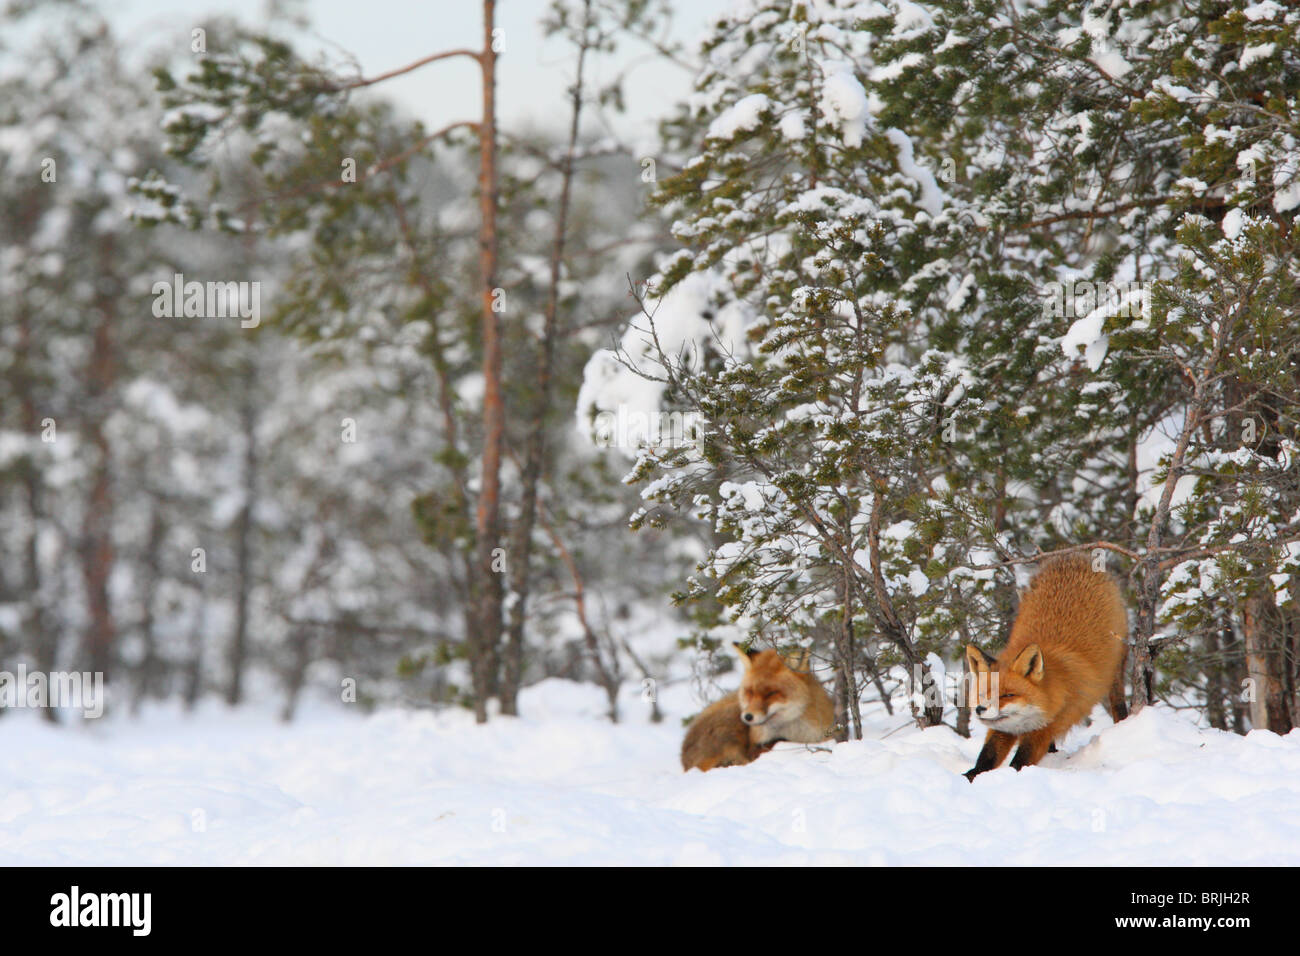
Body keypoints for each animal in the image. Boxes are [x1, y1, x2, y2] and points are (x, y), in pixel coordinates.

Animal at [967, 556, 1128, 780]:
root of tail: (1075, 558)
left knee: (1118, 701)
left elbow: (1019, 762)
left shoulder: (1045, 729)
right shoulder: (1003, 728)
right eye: (982, 694)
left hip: (1116, 669)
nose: (980, 709)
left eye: (1008, 695)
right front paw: (970, 776)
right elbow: (986, 757)